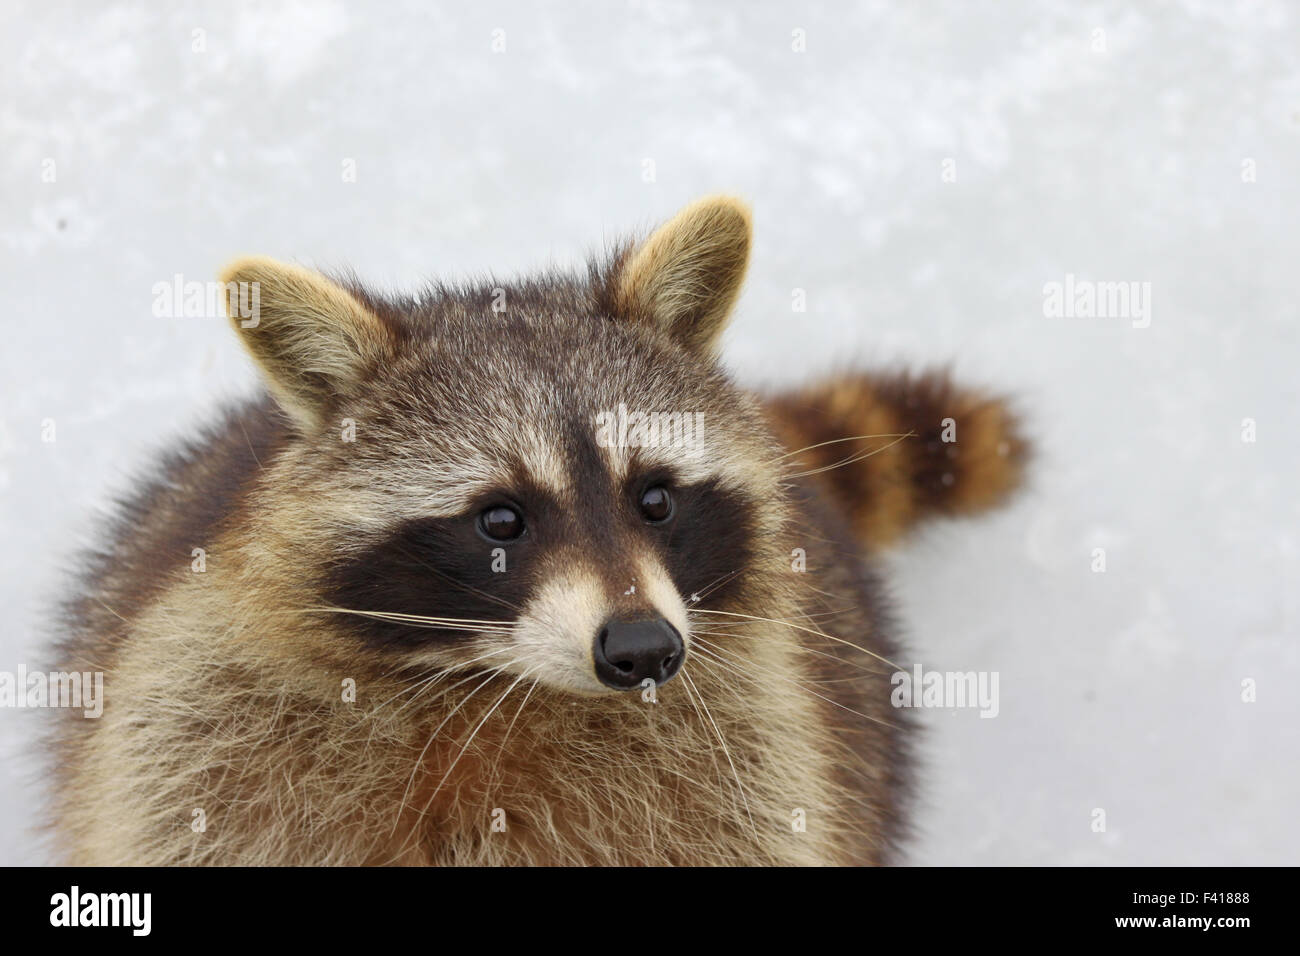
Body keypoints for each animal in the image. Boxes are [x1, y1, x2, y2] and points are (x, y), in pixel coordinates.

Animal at [48, 195, 1024, 868]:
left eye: (656, 501)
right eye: (501, 519)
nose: (643, 650)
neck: (494, 683)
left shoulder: (744, 755)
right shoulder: (209, 728)